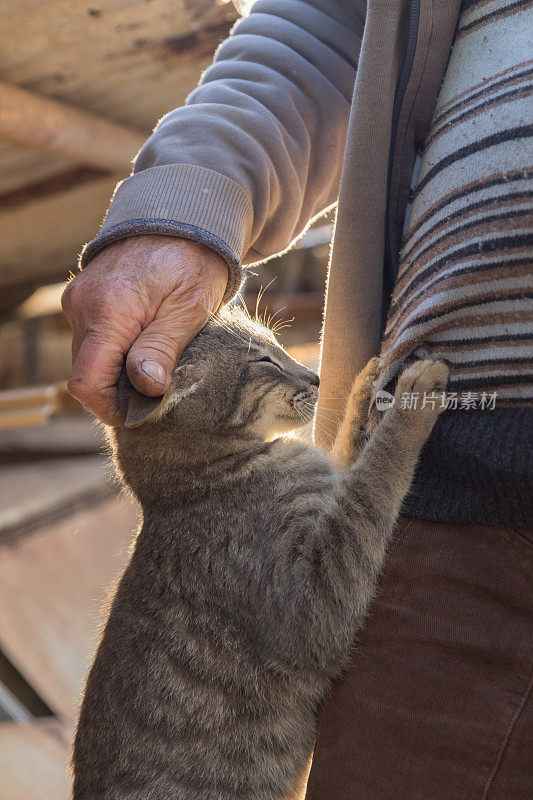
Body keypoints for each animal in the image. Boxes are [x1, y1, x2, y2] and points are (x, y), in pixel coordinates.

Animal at [72, 306, 446, 800]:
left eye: (277, 344)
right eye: (264, 361)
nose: (314, 375)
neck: (198, 483)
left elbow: (349, 457)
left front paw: (364, 386)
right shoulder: (316, 604)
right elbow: (374, 478)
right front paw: (410, 402)